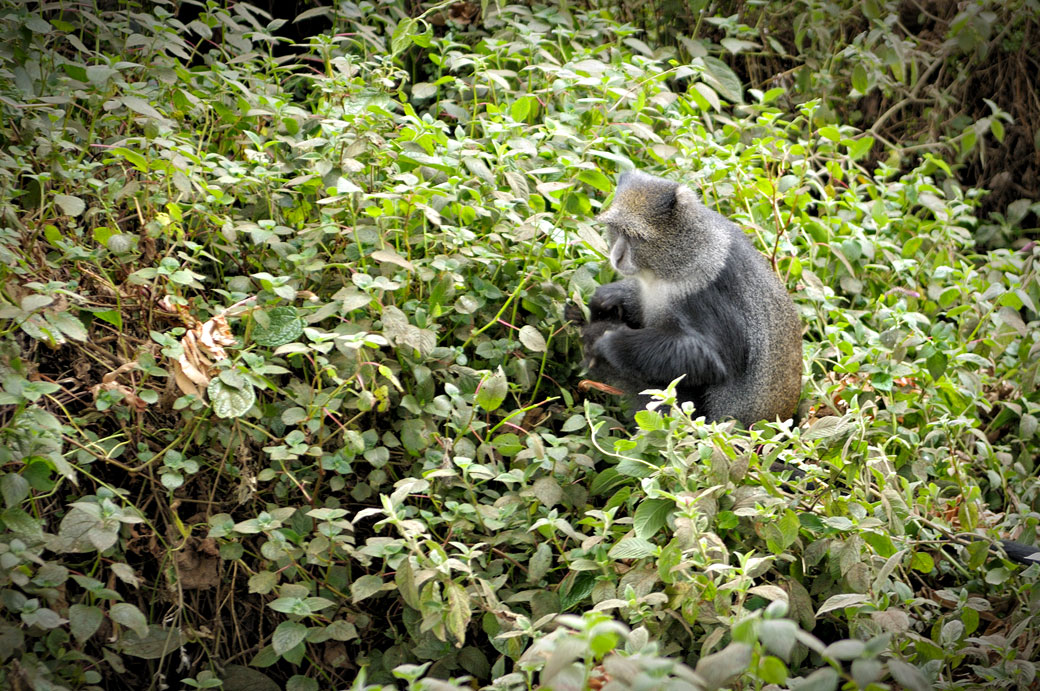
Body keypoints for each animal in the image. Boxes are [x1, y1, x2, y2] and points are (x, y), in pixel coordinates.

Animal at [569, 169, 802, 424]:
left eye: (634, 236)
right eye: (617, 230)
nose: (617, 256)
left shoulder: (707, 293)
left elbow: (713, 361)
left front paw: (609, 340)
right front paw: (603, 300)